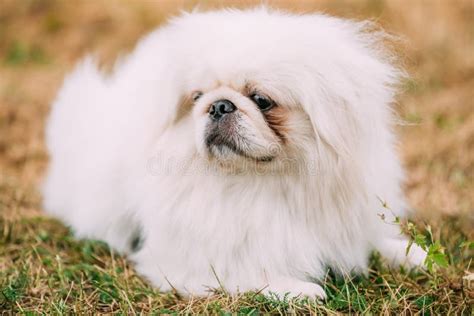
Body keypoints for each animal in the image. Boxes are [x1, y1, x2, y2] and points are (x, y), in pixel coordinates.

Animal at [41, 8, 426, 298]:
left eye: (262, 100)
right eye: (197, 97)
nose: (218, 105)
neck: (262, 184)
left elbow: (373, 240)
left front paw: (413, 256)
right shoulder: (188, 261)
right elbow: (246, 270)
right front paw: (298, 289)